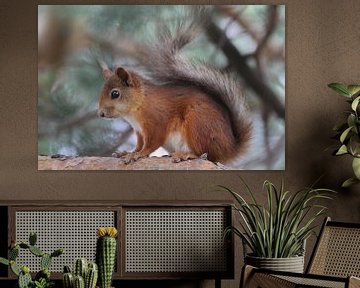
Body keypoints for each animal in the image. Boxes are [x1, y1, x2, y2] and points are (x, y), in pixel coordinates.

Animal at [97, 8, 252, 164]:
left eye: (115, 94)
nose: (100, 114)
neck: (139, 105)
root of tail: (229, 148)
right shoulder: (139, 131)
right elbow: (139, 144)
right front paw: (128, 152)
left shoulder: (156, 121)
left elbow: (152, 142)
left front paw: (139, 154)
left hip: (198, 124)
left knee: (206, 154)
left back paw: (187, 155)